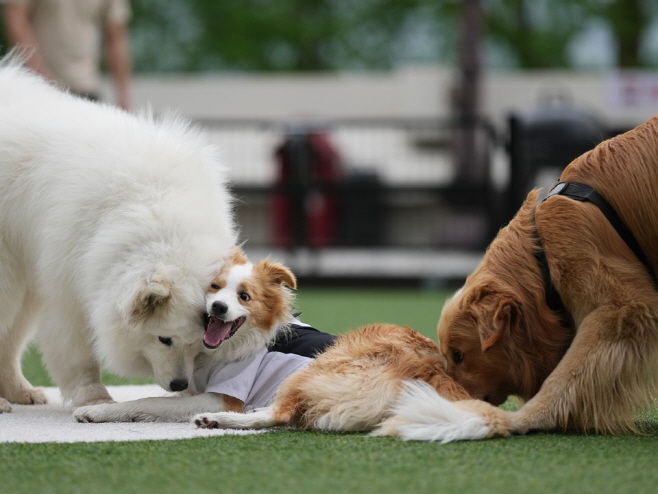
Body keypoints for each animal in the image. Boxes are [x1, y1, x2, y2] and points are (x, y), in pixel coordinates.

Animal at [0, 58, 236, 412]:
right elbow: (77, 351)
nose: (179, 383)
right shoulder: (70, 285)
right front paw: (94, 397)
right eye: (164, 338)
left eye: (199, 343)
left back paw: (19, 391)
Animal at [74, 249, 298, 422]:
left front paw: (97, 410)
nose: (219, 306)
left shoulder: (226, 396)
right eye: (215, 286)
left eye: (244, 296)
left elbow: (153, 401)